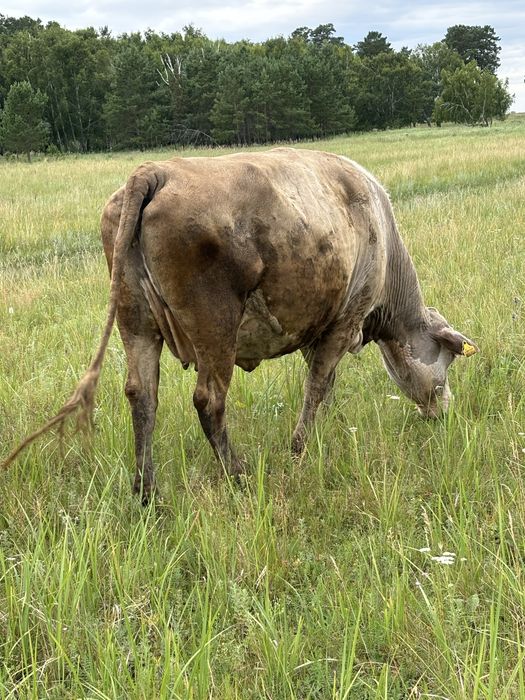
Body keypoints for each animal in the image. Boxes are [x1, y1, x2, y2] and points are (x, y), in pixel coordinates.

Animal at [3, 148, 478, 501]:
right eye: (445, 367)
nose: (442, 413)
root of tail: (156, 171)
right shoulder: (344, 322)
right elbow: (317, 386)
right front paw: (300, 449)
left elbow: (325, 386)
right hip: (215, 327)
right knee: (209, 401)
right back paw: (238, 473)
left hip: (135, 320)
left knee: (142, 396)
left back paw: (146, 491)